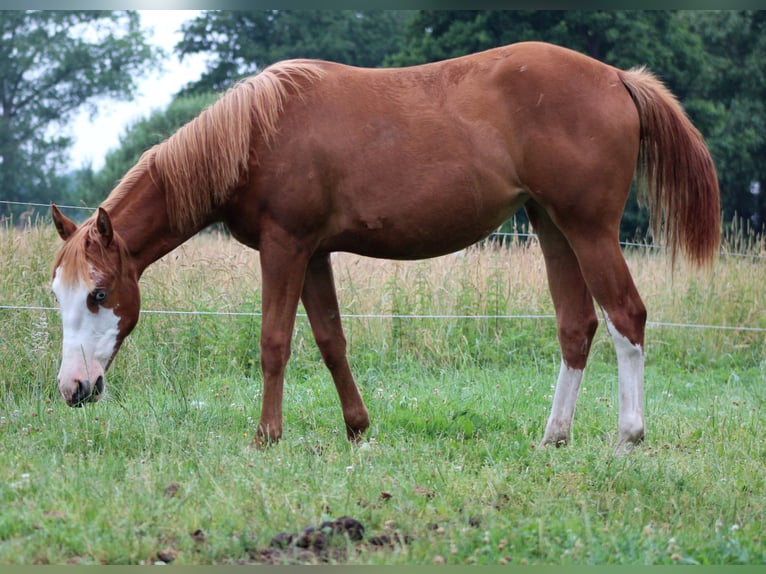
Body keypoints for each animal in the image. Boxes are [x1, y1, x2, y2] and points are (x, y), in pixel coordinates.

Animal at [50, 41, 720, 451]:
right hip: (552, 226)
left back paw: (628, 436)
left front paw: (267, 435)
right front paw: (357, 428)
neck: (260, 133)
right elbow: (330, 341)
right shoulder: (314, 253)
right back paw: (553, 437)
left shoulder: (284, 247)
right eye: (58, 295)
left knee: (626, 316)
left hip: (588, 228)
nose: (72, 389)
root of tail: (618, 78)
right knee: (577, 326)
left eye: (99, 294)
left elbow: (274, 341)